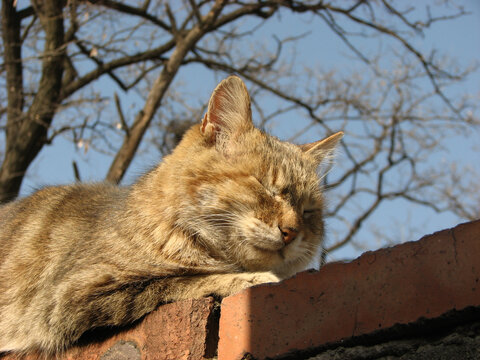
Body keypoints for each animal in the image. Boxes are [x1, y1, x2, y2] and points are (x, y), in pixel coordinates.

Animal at [0, 75, 344, 354]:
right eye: (264, 186)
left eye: (308, 211)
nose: (291, 231)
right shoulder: (74, 296)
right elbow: (185, 280)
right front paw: (252, 277)